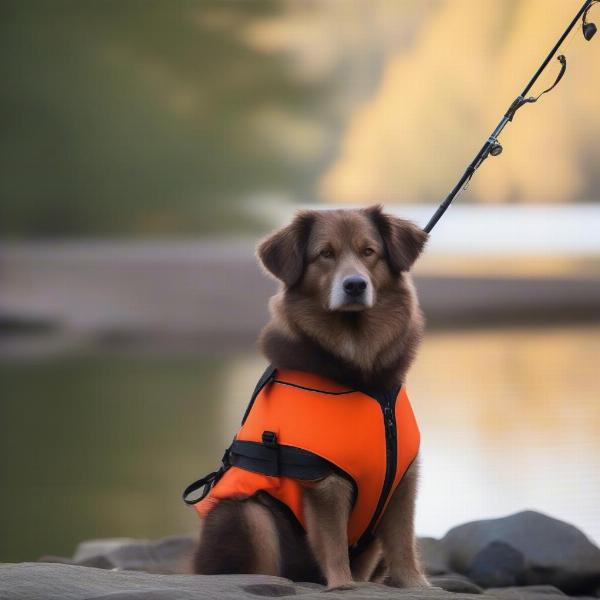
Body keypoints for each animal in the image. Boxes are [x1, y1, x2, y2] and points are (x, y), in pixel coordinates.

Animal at [192, 205, 426, 584]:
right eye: (325, 254)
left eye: (369, 252)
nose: (355, 285)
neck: (362, 376)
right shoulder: (322, 481)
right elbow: (333, 546)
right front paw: (342, 587)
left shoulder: (402, 481)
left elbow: (404, 544)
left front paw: (415, 584)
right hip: (247, 514)